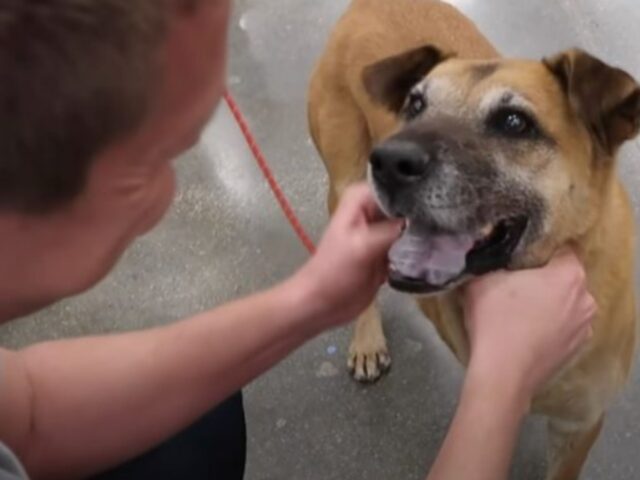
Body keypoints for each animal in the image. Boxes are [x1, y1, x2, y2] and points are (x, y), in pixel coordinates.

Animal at [308, 0, 636, 480]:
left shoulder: (579, 426)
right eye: (415, 104)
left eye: (515, 122)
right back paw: (367, 341)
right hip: (343, 182)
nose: (387, 161)